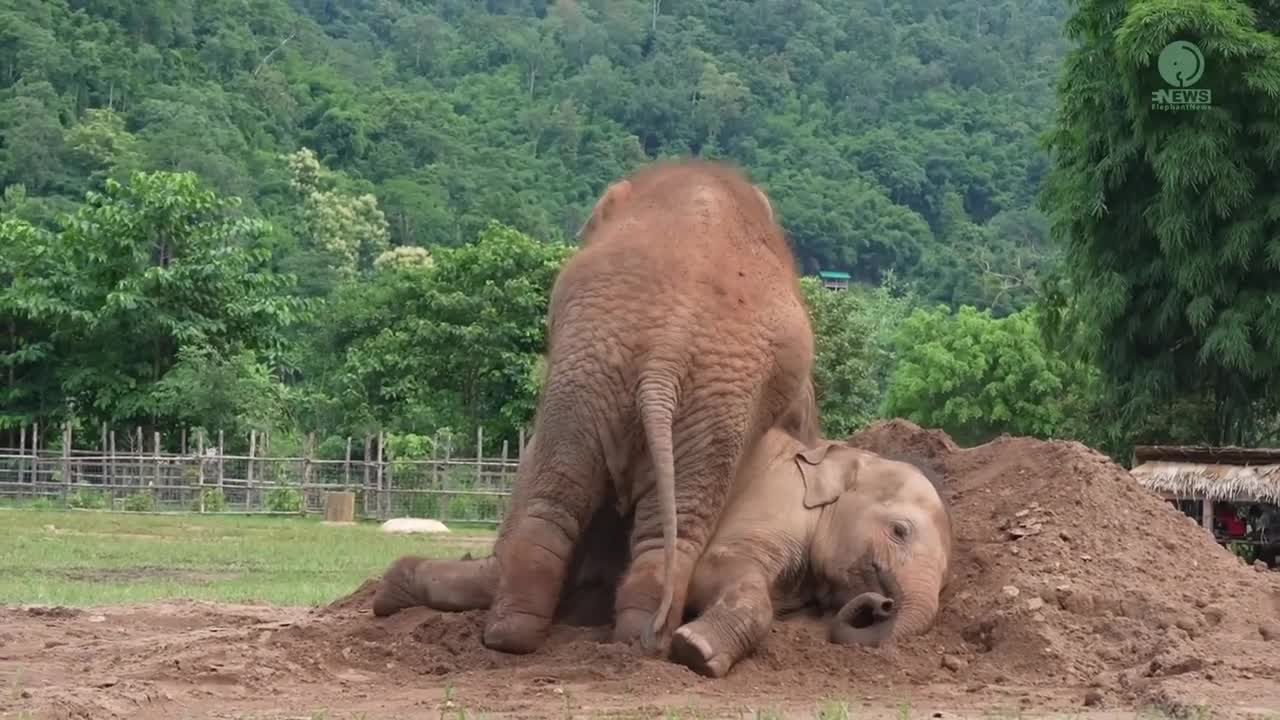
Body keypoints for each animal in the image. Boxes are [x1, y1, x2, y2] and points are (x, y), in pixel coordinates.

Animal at [373, 158, 824, 655]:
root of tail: (667, 346)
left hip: (631, 369)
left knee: (574, 499)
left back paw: (527, 635)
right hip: (634, 369)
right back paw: (616, 639)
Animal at [670, 425, 952, 676]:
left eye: (944, 580)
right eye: (899, 531)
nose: (885, 603)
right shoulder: (774, 496)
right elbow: (711, 565)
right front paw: (693, 648)